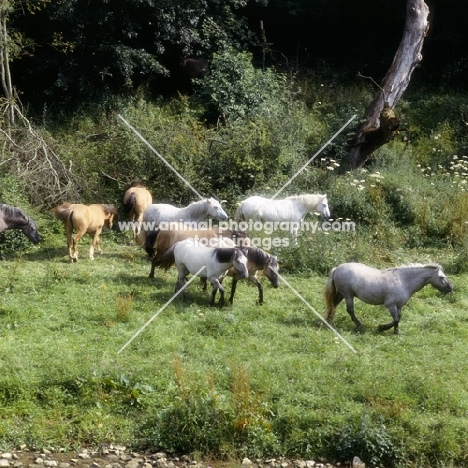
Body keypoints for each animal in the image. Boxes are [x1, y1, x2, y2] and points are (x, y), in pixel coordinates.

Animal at [326, 262, 454, 334]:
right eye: (442, 277)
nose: (451, 288)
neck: (404, 281)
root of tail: (337, 268)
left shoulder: (399, 306)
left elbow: (398, 318)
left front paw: (396, 332)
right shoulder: (390, 305)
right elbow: (396, 319)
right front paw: (381, 328)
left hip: (342, 294)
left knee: (333, 304)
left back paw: (328, 321)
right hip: (348, 295)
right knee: (350, 310)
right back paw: (359, 325)